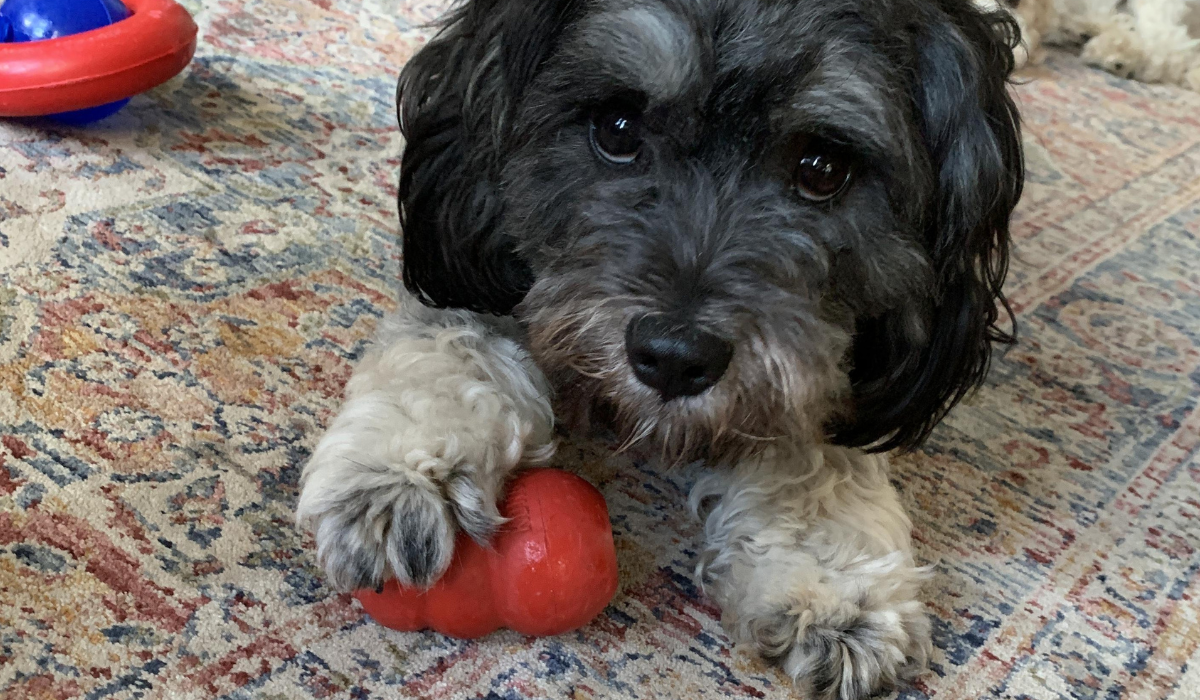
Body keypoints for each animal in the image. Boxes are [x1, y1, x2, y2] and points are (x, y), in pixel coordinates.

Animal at [297, 2, 1022, 696]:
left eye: (823, 169)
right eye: (617, 128)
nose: (674, 357)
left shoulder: (838, 364)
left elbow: (816, 447)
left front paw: (837, 584)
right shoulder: (471, 251)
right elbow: (456, 343)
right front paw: (401, 478)